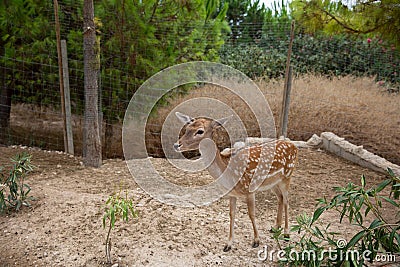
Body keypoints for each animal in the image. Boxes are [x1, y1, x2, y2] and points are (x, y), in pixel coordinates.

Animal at [173, 112, 298, 252]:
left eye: (200, 131)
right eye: (187, 129)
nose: (176, 145)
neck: (228, 172)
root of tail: (294, 146)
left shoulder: (249, 189)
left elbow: (251, 214)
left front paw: (256, 241)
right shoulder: (232, 194)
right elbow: (231, 215)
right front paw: (228, 244)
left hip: (287, 176)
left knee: (287, 200)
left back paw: (286, 233)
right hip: (273, 183)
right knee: (280, 198)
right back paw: (275, 227)